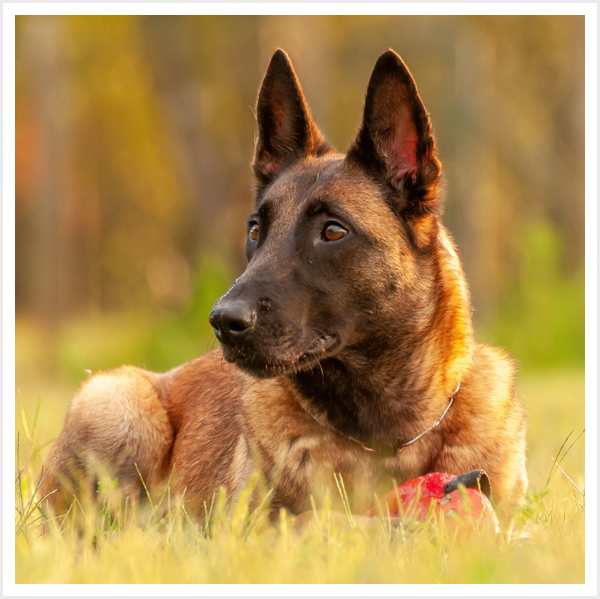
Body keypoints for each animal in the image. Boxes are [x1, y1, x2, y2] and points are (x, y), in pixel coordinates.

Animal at [40, 49, 528, 522]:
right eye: (256, 230)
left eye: (333, 231)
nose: (223, 321)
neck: (386, 441)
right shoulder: (262, 523)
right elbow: (337, 521)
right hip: (120, 403)